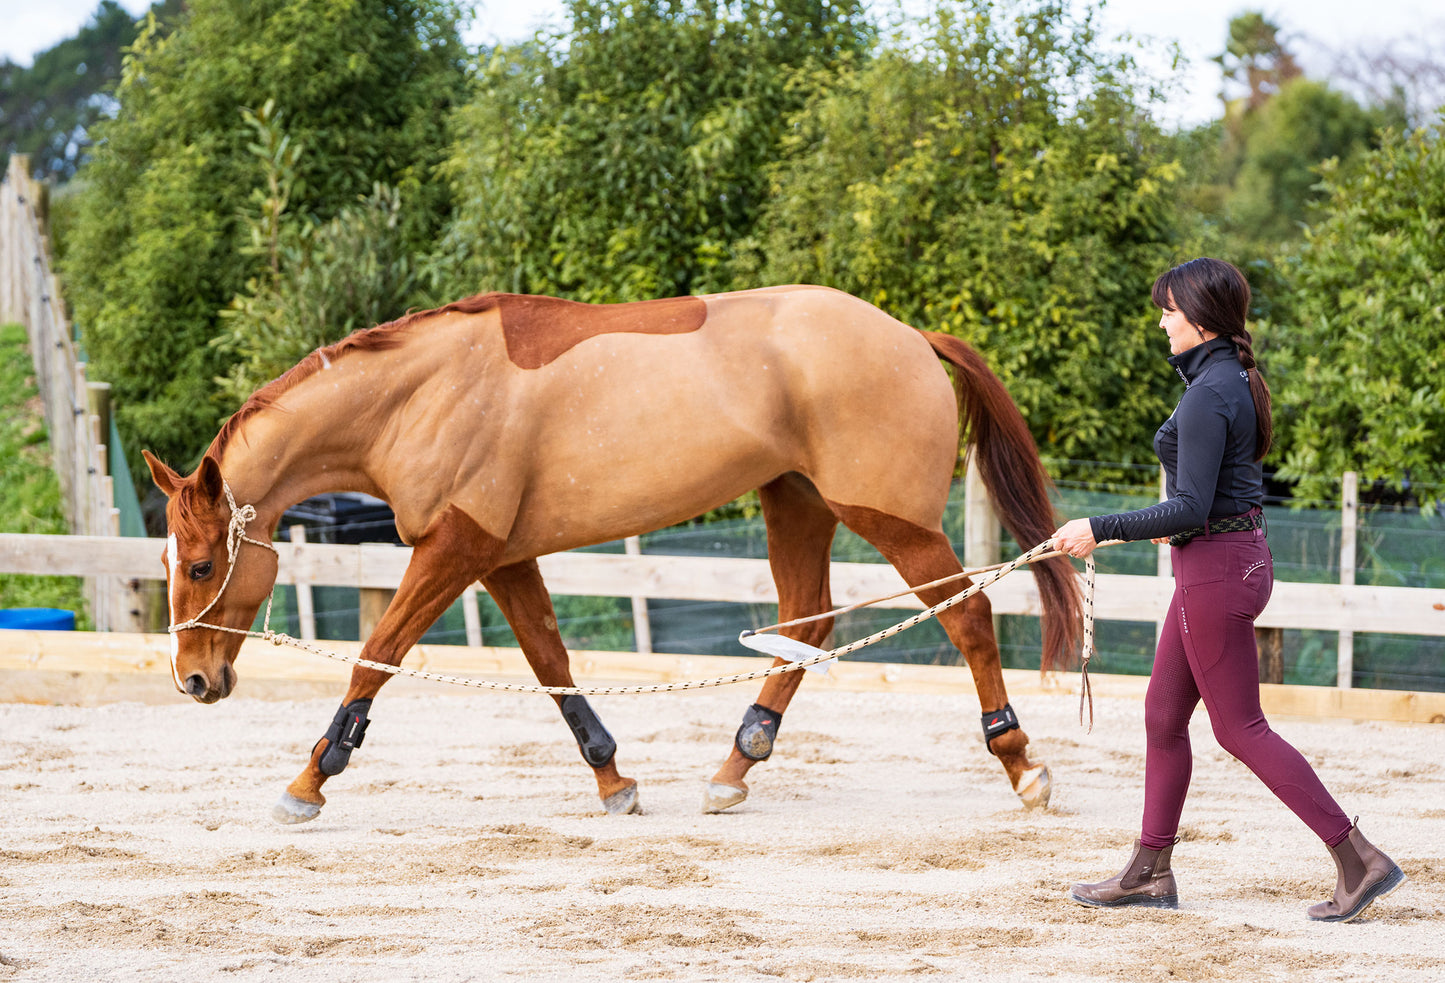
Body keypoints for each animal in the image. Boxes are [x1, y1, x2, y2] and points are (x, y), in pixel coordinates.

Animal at [146, 281, 1080, 821]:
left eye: (200, 565)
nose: (192, 679)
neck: (421, 395)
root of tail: (912, 336)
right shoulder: (500, 557)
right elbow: (550, 665)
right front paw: (612, 779)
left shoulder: (453, 550)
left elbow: (375, 654)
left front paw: (311, 778)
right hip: (795, 503)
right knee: (804, 628)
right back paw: (735, 766)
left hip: (890, 520)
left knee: (969, 616)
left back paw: (1021, 765)